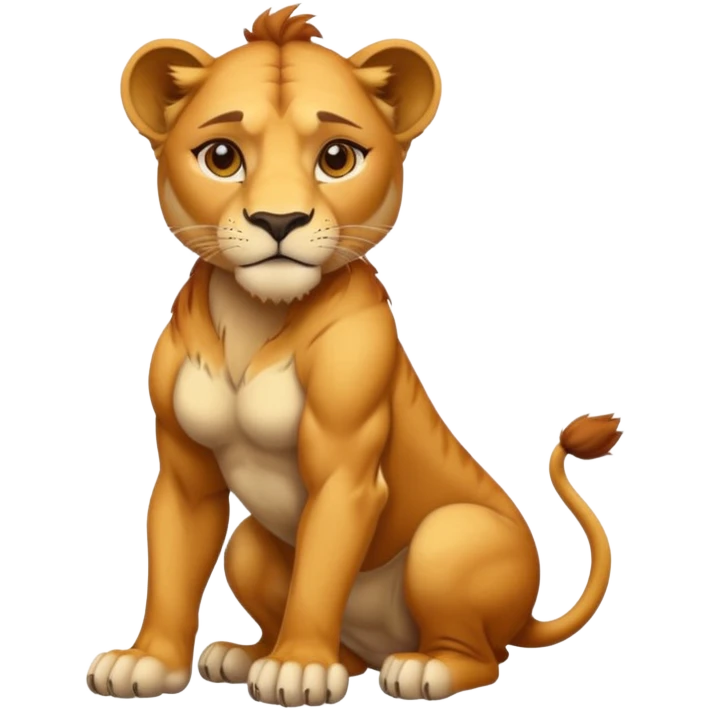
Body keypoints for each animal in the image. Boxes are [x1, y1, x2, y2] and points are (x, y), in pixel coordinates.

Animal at [89, 4, 621, 704]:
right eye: (222, 158)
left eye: (337, 158)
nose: (278, 221)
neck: (256, 315)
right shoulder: (184, 472)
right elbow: (172, 564)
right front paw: (148, 661)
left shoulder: (345, 467)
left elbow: (321, 572)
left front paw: (297, 669)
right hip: (251, 546)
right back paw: (249, 654)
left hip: (451, 537)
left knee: (483, 654)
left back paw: (419, 668)